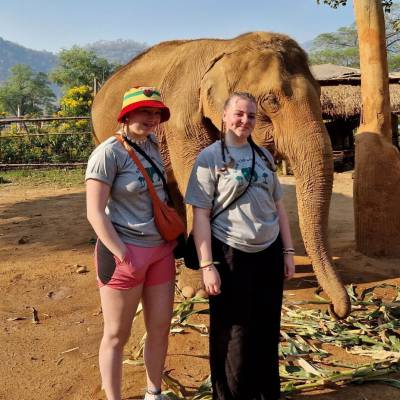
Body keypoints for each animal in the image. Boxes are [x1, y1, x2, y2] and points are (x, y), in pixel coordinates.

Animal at [90, 31, 350, 318]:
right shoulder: (182, 120)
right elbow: (197, 186)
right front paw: (196, 291)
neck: (226, 47)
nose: (334, 310)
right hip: (98, 135)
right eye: (272, 101)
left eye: (320, 94)